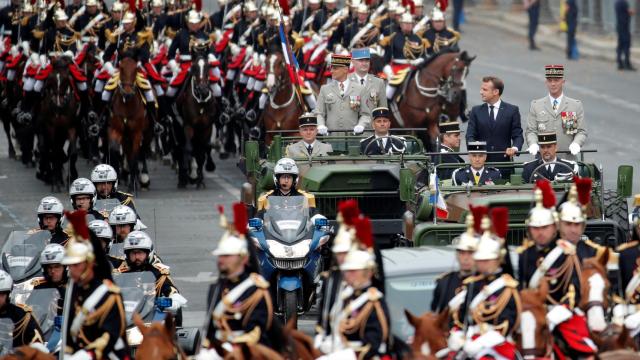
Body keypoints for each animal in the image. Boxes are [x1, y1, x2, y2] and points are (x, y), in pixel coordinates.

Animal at [37, 56, 79, 190]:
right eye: (50, 78)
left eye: (66, 79)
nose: (58, 104)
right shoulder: (51, 128)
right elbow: (54, 152)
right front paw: (55, 182)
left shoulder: (71, 127)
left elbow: (72, 152)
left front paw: (71, 178)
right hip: (43, 130)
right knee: (46, 150)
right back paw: (51, 177)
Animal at [109, 56, 152, 191]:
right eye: (121, 68)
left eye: (136, 69)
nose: (127, 93)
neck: (127, 105)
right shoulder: (118, 130)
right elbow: (116, 149)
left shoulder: (137, 133)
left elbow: (134, 157)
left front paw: (132, 184)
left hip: (147, 133)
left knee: (142, 151)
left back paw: (143, 178)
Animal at [175, 54, 218, 188]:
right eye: (194, 67)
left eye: (208, 67)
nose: (203, 90)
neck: (201, 103)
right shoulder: (188, 126)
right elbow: (188, 149)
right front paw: (187, 173)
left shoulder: (206, 128)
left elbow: (202, 153)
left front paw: (200, 180)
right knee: (180, 149)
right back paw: (183, 179)